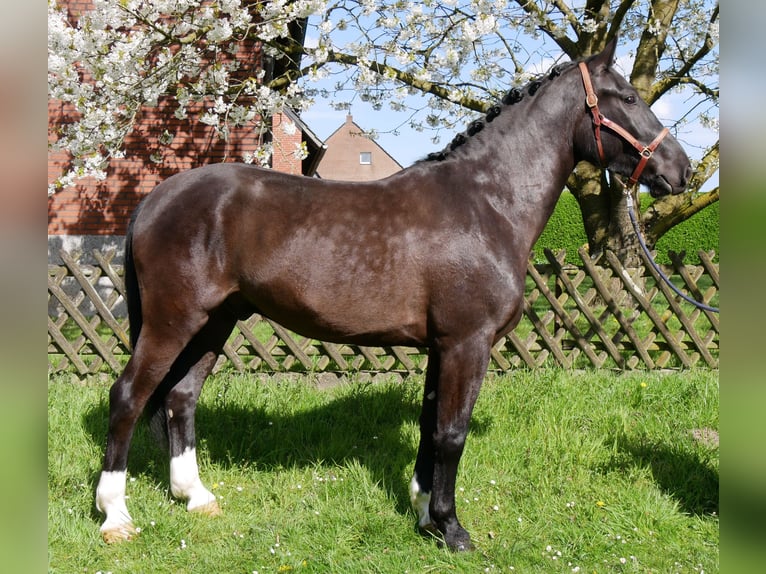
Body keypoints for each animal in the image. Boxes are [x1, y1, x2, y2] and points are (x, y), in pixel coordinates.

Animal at [95, 38, 692, 551]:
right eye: (629, 97)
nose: (680, 170)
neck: (487, 202)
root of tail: (154, 199)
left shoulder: (441, 347)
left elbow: (430, 427)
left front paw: (426, 514)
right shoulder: (467, 343)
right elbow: (452, 433)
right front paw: (452, 529)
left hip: (215, 322)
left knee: (180, 397)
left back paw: (195, 497)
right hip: (173, 321)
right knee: (128, 397)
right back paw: (116, 516)